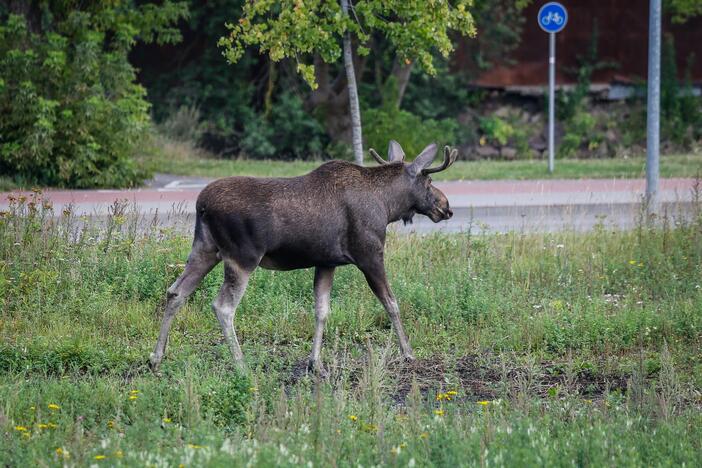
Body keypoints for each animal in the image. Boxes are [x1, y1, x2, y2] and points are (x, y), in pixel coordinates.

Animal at [151, 141, 460, 374]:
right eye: (429, 180)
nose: (447, 207)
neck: (387, 206)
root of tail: (201, 204)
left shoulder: (326, 262)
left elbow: (322, 310)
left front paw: (315, 363)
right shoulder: (369, 254)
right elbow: (391, 303)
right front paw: (408, 352)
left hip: (204, 249)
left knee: (176, 291)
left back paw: (156, 357)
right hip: (242, 257)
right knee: (223, 306)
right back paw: (241, 364)